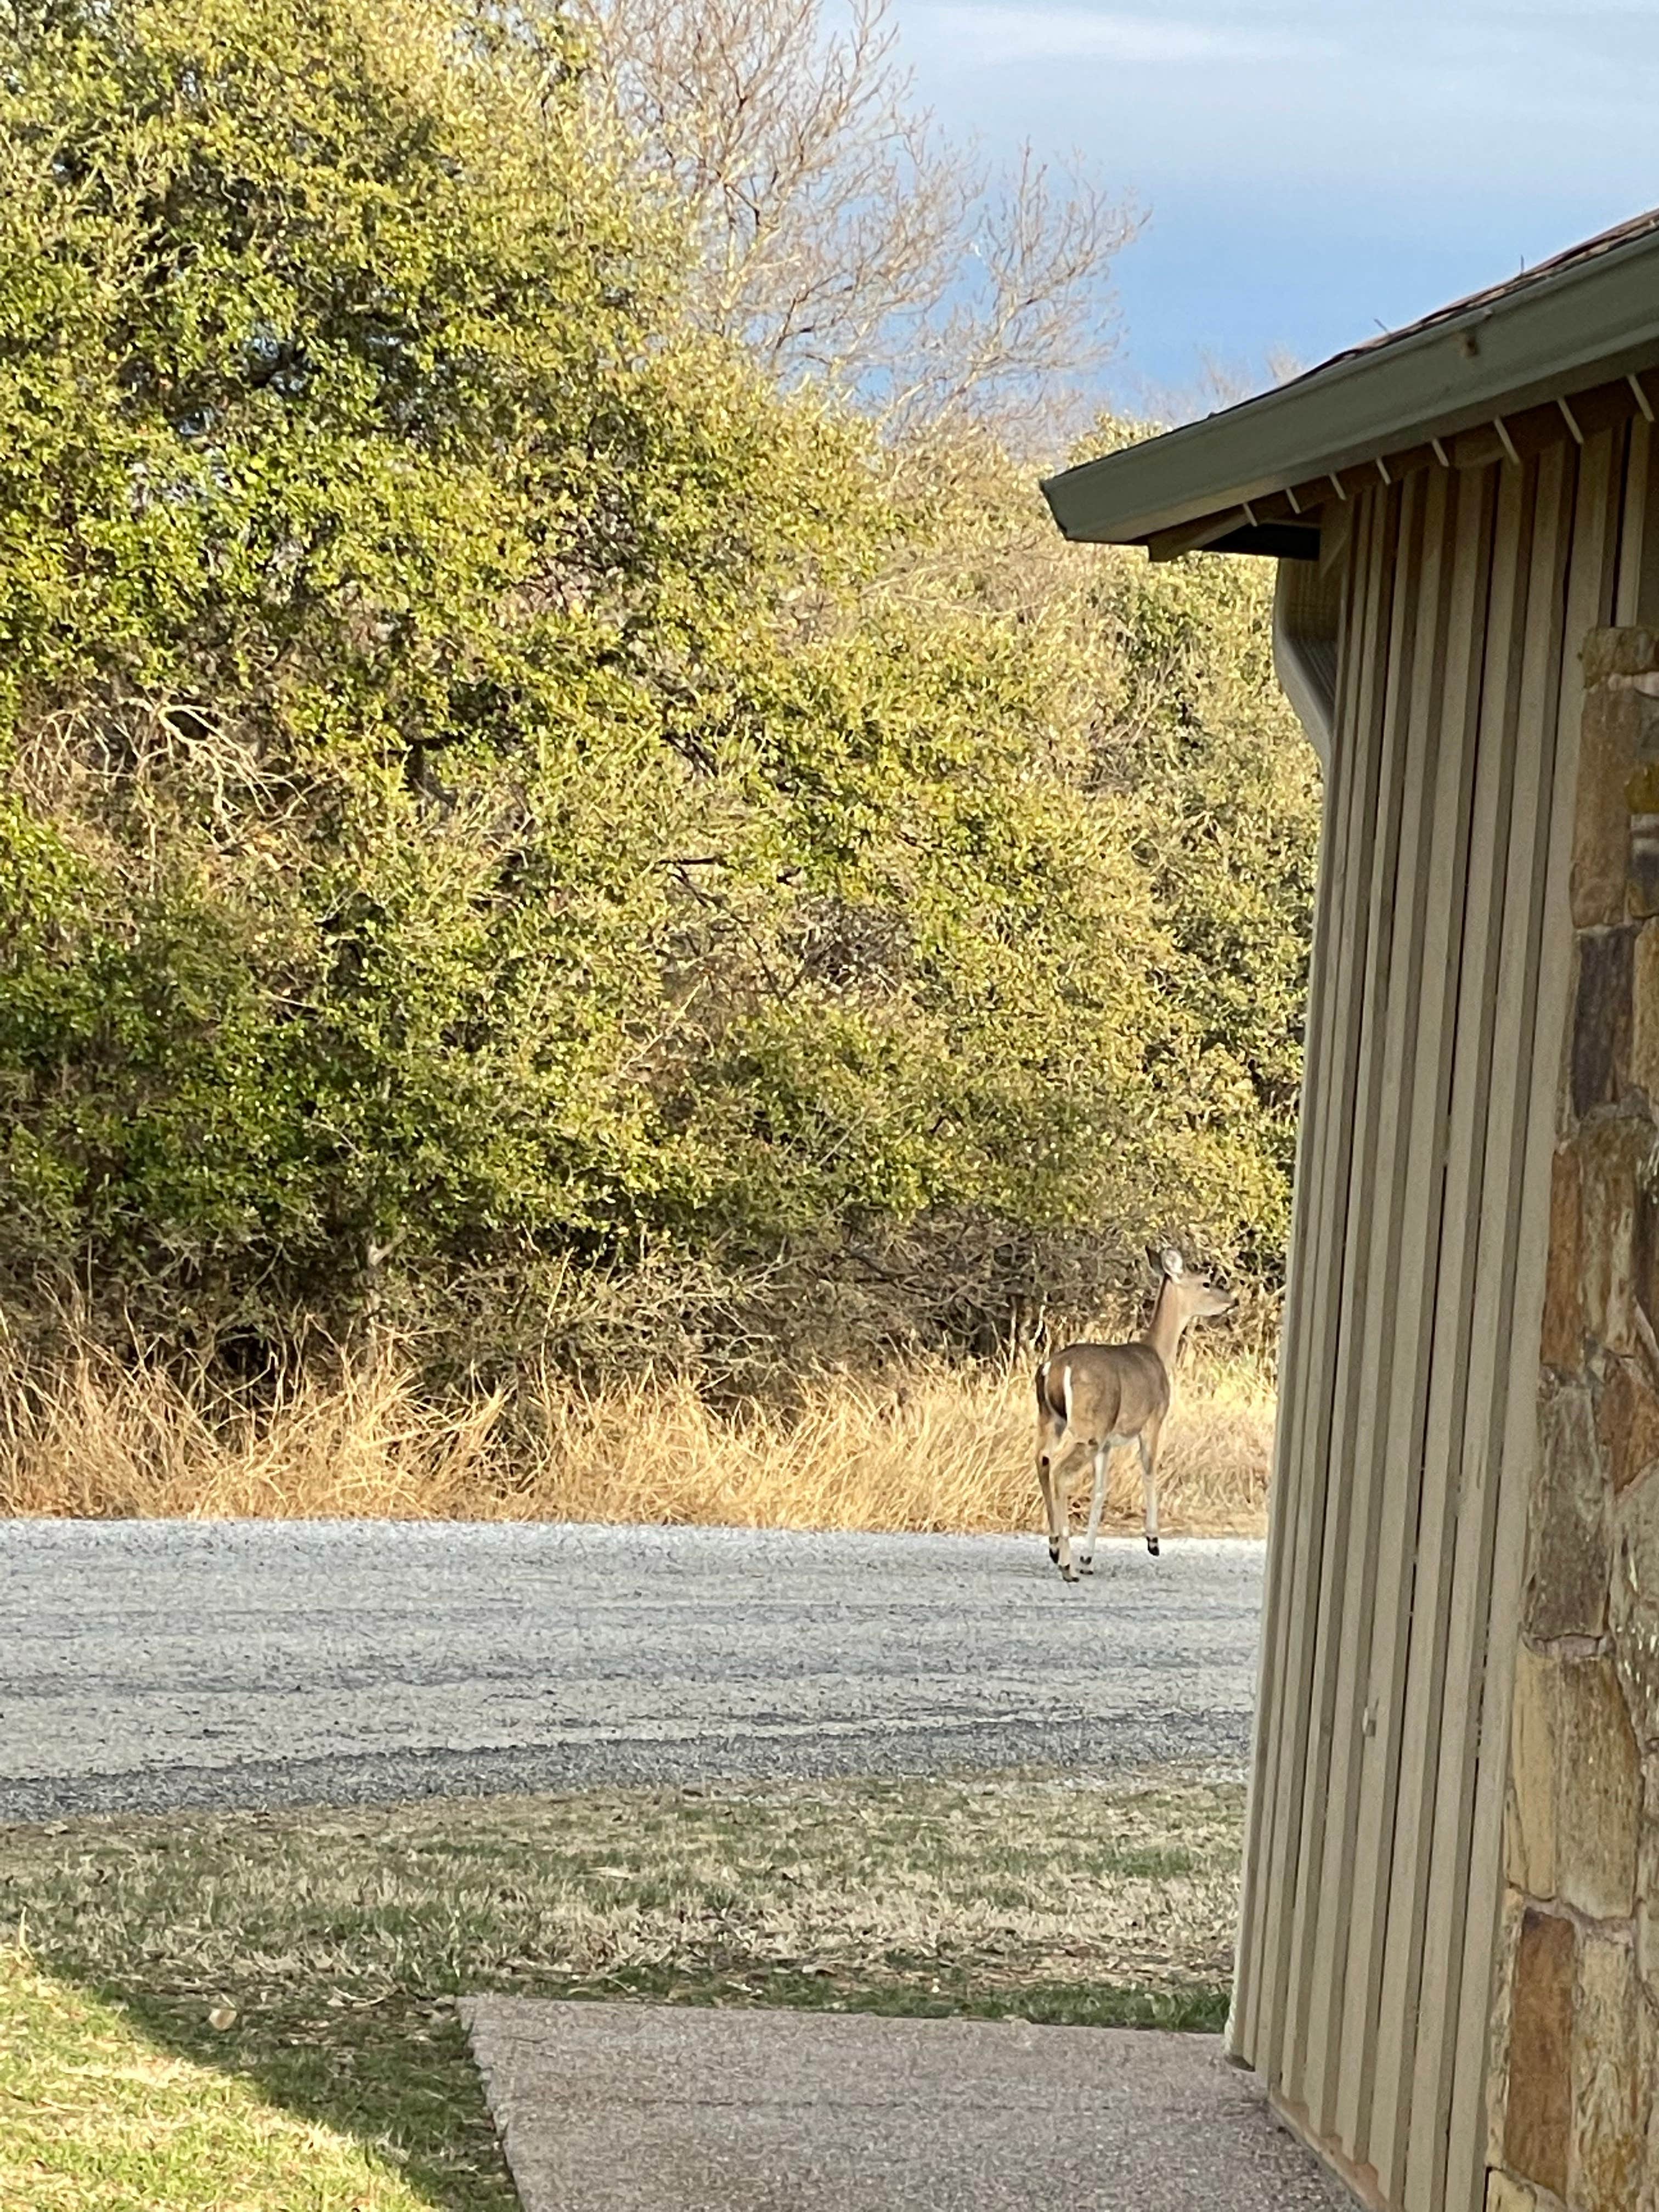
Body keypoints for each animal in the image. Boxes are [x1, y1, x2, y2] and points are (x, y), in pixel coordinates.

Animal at [1035, 1256, 1238, 1583]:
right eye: (1206, 1282)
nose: (1233, 1300)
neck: (1158, 1354)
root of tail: (1054, 1367)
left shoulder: (1108, 1443)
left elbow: (1100, 1490)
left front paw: (1088, 1558)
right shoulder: (1154, 1420)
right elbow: (1150, 1469)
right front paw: (1153, 1541)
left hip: (1052, 1419)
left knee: (1042, 1460)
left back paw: (1056, 1549)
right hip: (1088, 1428)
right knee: (1061, 1472)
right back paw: (1067, 1566)